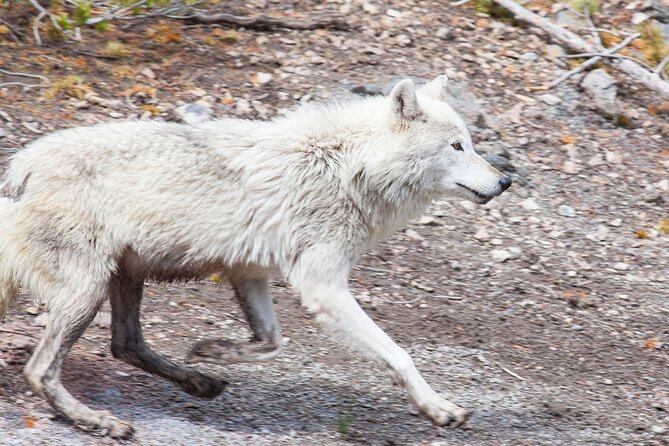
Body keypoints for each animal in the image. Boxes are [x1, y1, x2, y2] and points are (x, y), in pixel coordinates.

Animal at [0, 76, 512, 436]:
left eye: (471, 142)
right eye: (457, 146)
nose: (506, 181)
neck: (349, 168)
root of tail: (22, 166)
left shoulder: (250, 273)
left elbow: (271, 341)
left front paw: (215, 350)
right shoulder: (322, 287)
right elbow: (400, 355)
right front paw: (438, 408)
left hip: (124, 276)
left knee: (125, 344)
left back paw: (199, 380)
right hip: (88, 291)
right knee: (41, 370)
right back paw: (98, 421)